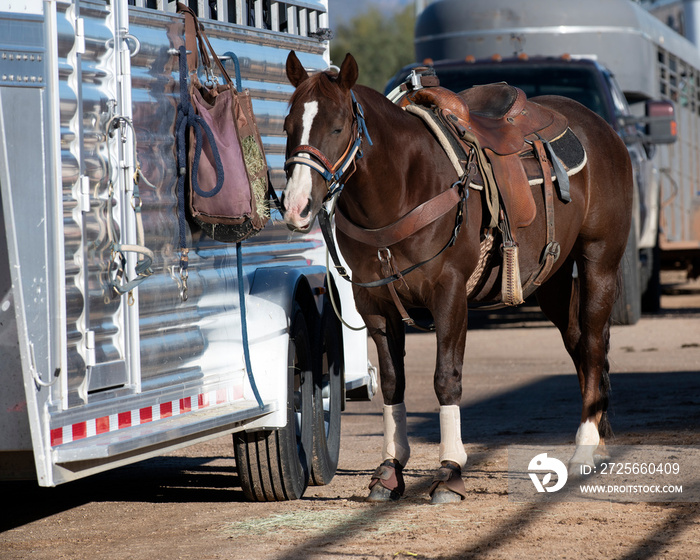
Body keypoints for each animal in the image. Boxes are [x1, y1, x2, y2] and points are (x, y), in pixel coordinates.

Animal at [280, 49, 636, 504]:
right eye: (289, 126)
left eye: (338, 126)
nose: (296, 206)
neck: (404, 186)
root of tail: (603, 130)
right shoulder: (375, 304)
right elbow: (393, 383)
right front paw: (389, 470)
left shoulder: (448, 294)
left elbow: (446, 378)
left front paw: (450, 471)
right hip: (552, 279)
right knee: (579, 343)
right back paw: (598, 440)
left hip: (598, 262)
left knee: (591, 344)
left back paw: (585, 449)